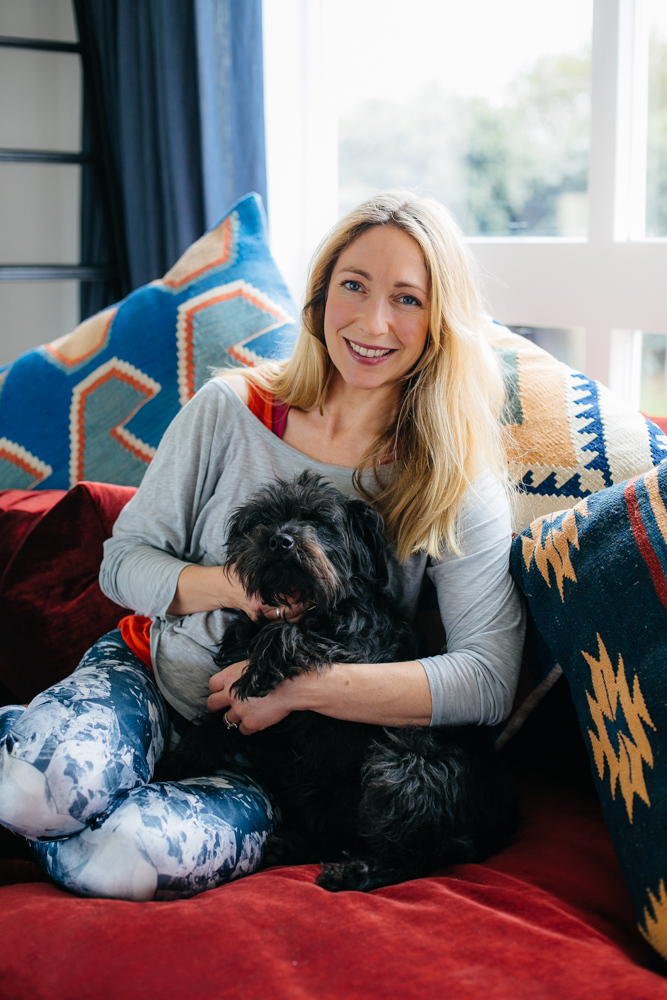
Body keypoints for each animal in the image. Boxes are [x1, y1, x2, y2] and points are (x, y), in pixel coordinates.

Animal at [157, 471, 518, 892]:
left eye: (319, 521)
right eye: (263, 520)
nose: (279, 540)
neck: (305, 600)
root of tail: (501, 820)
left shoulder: (356, 654)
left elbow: (292, 636)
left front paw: (263, 665)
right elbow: (213, 723)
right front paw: (174, 762)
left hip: (404, 765)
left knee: (415, 856)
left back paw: (353, 872)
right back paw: (293, 846)